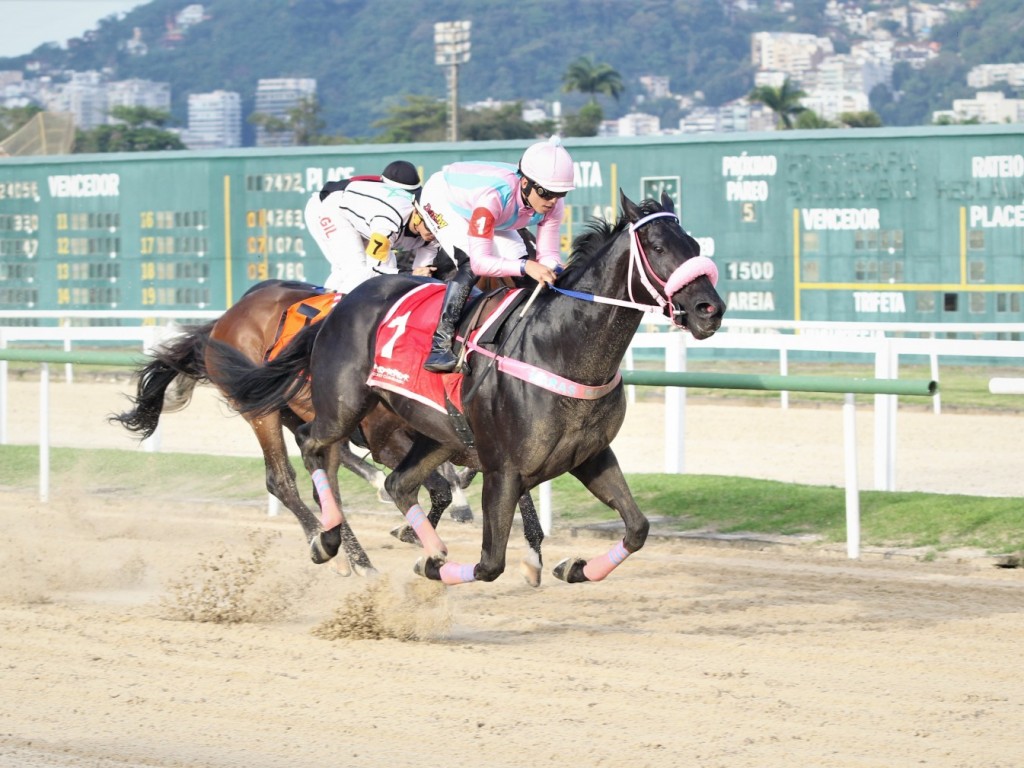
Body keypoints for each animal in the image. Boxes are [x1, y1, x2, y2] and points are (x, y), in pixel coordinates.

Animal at [111, 280, 544, 581]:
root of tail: (225, 319)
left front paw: (534, 550)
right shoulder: (388, 438)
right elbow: (435, 486)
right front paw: (414, 530)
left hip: (305, 414)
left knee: (326, 483)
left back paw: (353, 554)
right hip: (266, 411)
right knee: (282, 479)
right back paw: (329, 547)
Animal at [207, 192, 724, 581]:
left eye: (692, 241)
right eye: (656, 246)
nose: (710, 309)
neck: (559, 346)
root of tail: (340, 306)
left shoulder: (590, 455)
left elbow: (637, 528)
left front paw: (571, 567)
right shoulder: (503, 468)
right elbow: (489, 563)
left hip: (435, 432)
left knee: (397, 482)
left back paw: (415, 544)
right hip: (340, 407)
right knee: (311, 456)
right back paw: (330, 541)